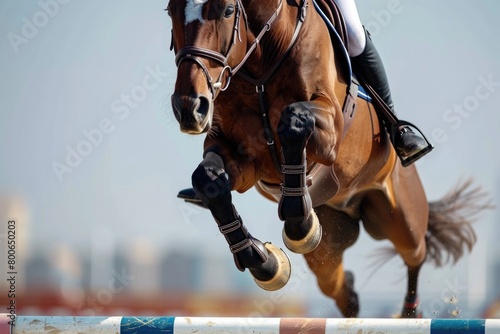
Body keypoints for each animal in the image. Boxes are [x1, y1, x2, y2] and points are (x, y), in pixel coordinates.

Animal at [166, 0, 486, 318]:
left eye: (228, 10)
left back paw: (409, 314)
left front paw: (300, 223)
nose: (190, 107)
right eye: (171, 11)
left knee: (415, 254)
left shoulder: (329, 129)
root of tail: (351, 205)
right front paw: (266, 263)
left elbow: (294, 120)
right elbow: (208, 180)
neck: (260, 68)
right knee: (345, 294)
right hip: (327, 252)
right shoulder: (235, 153)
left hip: (402, 217)